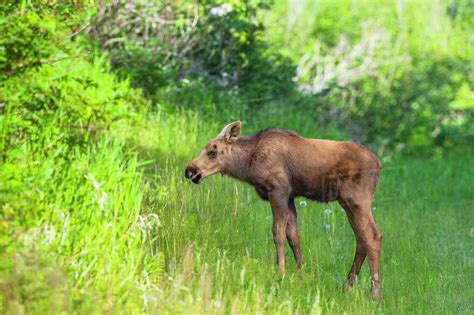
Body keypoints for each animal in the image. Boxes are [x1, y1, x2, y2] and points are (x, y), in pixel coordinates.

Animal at [183, 121, 384, 302]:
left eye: (213, 151)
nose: (190, 170)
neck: (248, 164)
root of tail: (379, 165)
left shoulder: (278, 190)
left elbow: (278, 233)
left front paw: (280, 273)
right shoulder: (290, 197)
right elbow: (293, 237)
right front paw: (302, 276)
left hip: (357, 200)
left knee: (373, 236)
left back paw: (375, 295)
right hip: (347, 203)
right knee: (361, 239)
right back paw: (347, 287)